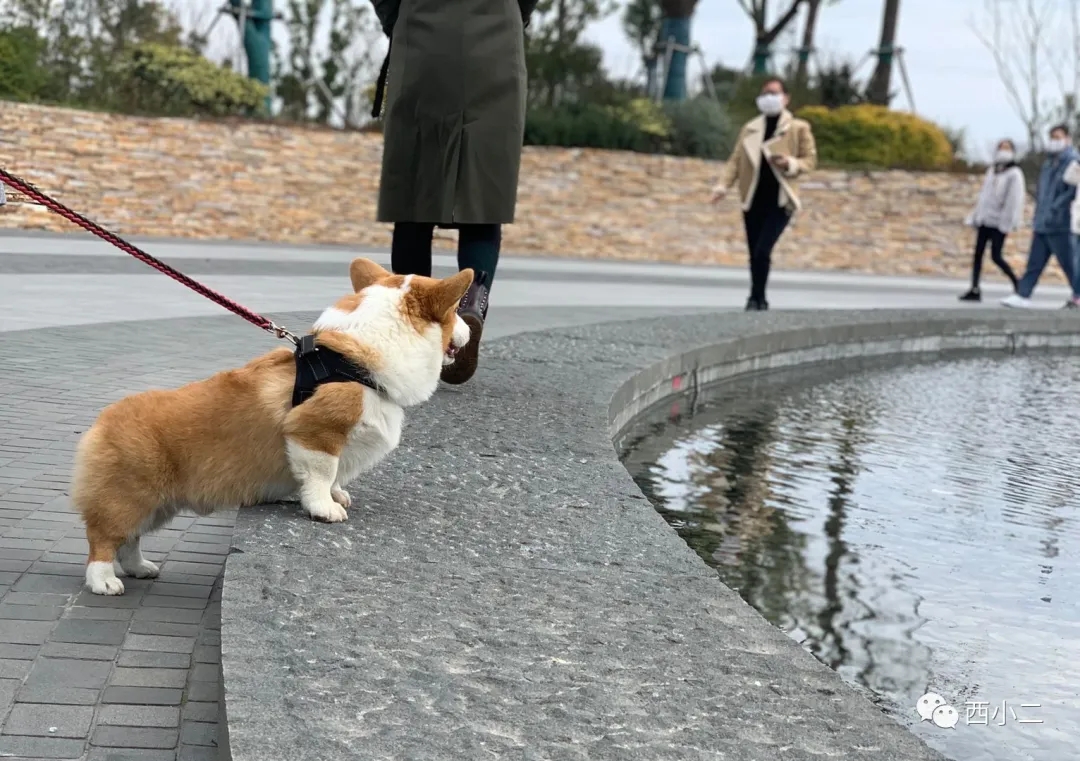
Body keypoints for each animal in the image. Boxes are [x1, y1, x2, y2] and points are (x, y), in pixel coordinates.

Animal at [69, 256, 470, 595]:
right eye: (456, 311)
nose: (470, 331)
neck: (358, 362)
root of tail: (101, 422)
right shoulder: (314, 433)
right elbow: (322, 474)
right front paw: (324, 508)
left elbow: (335, 476)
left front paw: (337, 494)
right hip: (129, 498)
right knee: (103, 538)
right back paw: (103, 581)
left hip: (156, 505)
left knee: (130, 541)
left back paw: (140, 568)